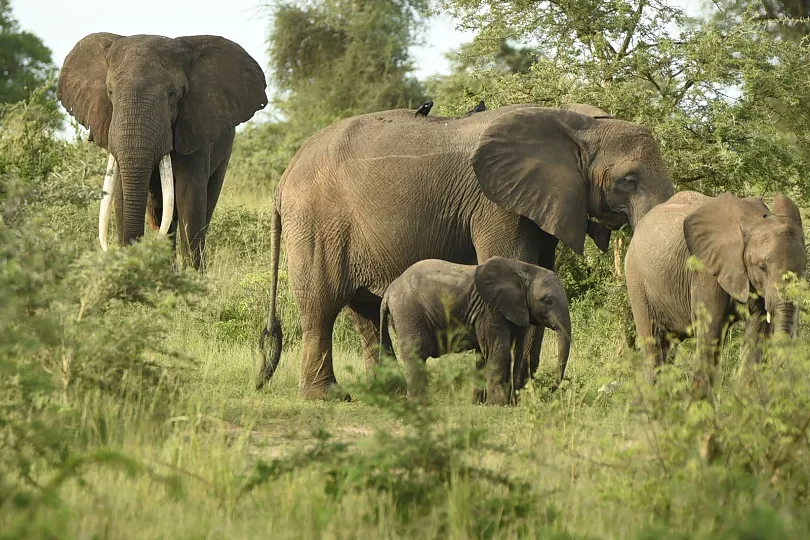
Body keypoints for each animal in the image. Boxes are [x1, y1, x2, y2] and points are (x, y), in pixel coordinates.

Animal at [378, 258, 568, 404]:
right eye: (548, 301)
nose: (551, 388)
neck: (524, 270)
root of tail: (388, 292)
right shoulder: (490, 309)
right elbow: (499, 349)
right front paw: (498, 404)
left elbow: (504, 352)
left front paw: (486, 403)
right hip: (408, 313)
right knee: (416, 354)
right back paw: (419, 403)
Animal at [624, 190, 800, 384]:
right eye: (762, 267)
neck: (753, 220)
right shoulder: (706, 270)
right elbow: (711, 329)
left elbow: (758, 329)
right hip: (637, 281)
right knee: (653, 344)